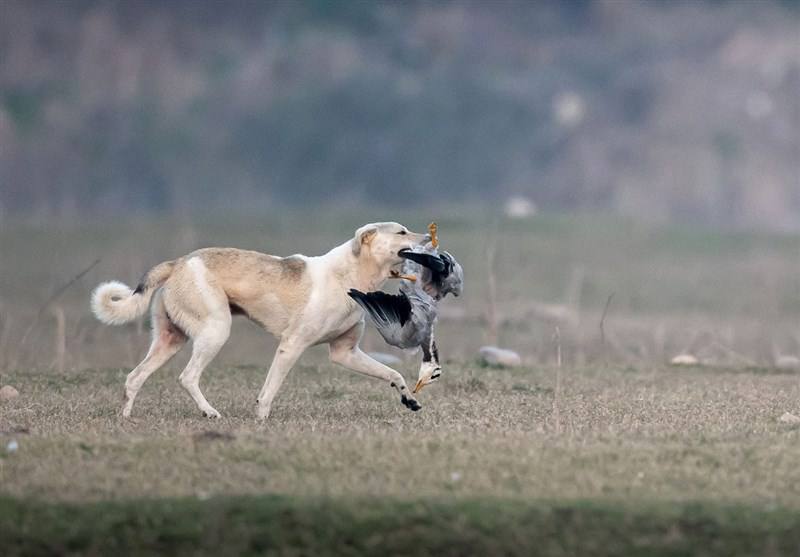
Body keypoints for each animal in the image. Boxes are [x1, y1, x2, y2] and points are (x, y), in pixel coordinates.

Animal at [91, 222, 432, 416]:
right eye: (402, 232)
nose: (429, 238)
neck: (350, 276)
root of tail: (179, 262)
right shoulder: (291, 346)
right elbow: (269, 391)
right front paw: (261, 420)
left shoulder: (345, 353)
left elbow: (393, 374)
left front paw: (410, 401)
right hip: (216, 331)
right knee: (187, 377)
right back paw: (210, 413)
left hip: (170, 340)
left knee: (134, 378)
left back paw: (126, 419)